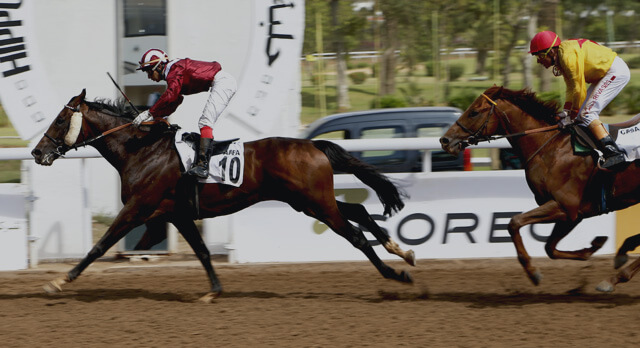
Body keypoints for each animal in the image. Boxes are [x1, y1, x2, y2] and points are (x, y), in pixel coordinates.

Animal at [30, 89, 416, 302]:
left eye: (61, 120)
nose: (36, 152)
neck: (141, 150)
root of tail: (313, 145)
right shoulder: (176, 214)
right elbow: (201, 252)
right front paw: (213, 290)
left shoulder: (138, 209)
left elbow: (99, 246)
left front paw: (58, 281)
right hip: (310, 202)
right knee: (359, 212)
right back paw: (403, 251)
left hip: (316, 204)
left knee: (356, 236)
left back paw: (397, 275)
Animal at [442, 85, 640, 292]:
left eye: (474, 112)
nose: (445, 140)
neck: (552, 148)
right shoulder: (572, 214)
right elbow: (549, 248)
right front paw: (592, 247)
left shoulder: (566, 207)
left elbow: (514, 223)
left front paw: (532, 272)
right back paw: (623, 252)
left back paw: (614, 277)